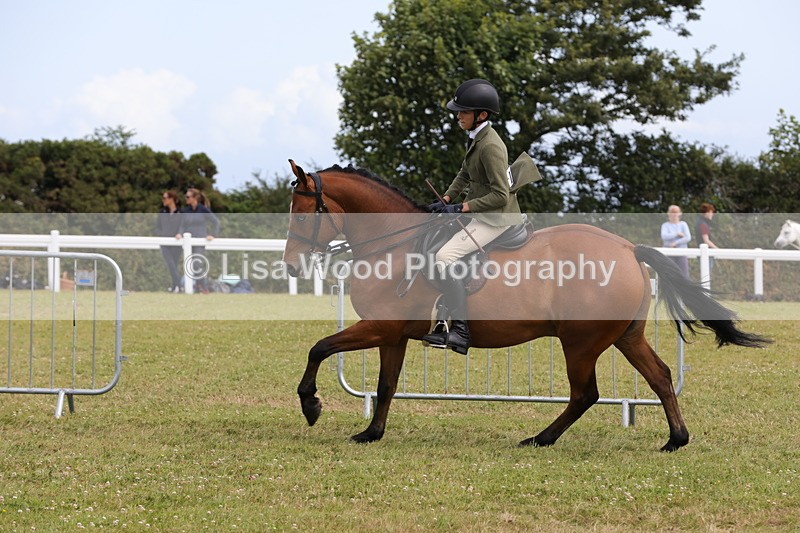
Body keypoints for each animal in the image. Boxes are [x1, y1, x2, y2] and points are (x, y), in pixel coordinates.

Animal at [282, 160, 770, 452]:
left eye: (303, 214)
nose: (290, 265)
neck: (393, 244)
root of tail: (628, 249)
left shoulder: (379, 327)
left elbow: (318, 348)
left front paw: (311, 406)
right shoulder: (392, 334)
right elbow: (384, 386)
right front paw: (371, 433)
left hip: (581, 343)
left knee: (586, 394)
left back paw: (541, 438)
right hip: (625, 337)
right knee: (661, 377)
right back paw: (675, 439)